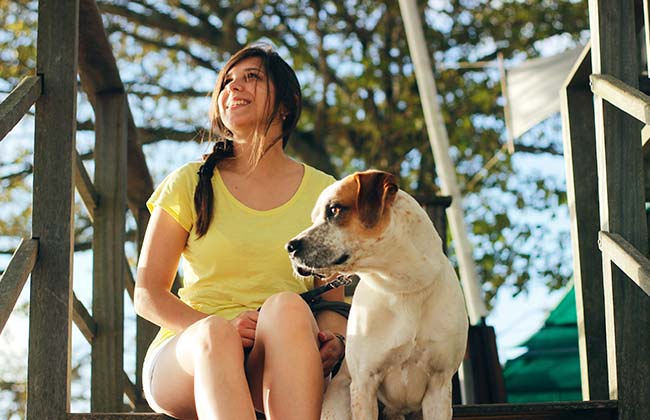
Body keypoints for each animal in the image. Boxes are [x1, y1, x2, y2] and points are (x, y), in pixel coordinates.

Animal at [286, 170, 468, 420]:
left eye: (334, 209)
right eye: (314, 218)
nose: (290, 247)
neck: (401, 287)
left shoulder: (439, 386)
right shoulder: (364, 383)